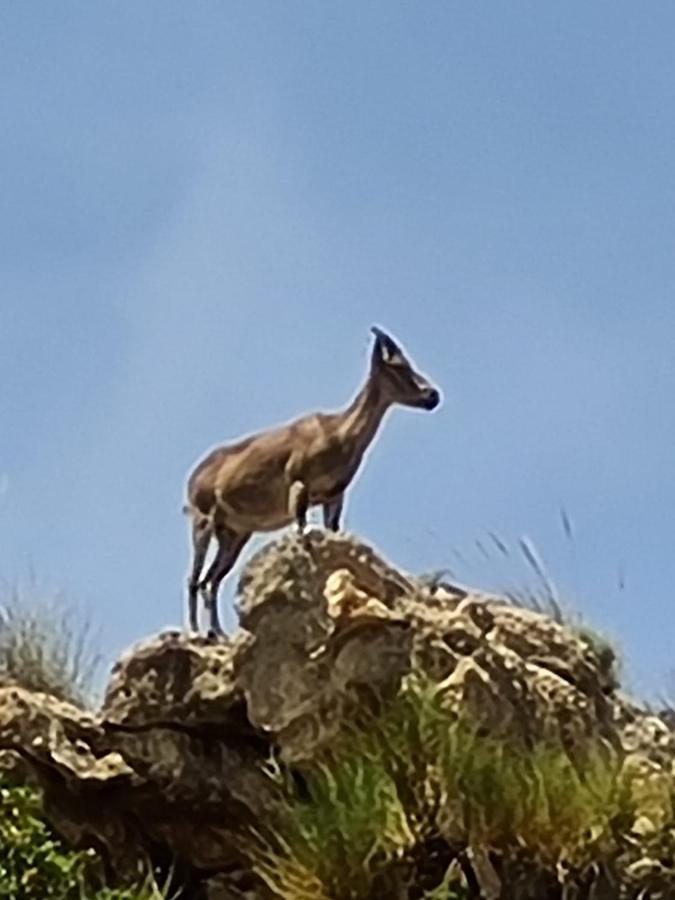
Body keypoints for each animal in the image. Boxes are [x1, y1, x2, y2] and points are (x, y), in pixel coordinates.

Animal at [182, 326, 440, 632]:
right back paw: (197, 631)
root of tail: (193, 478)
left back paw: (216, 632)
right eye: (398, 366)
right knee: (194, 579)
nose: (432, 395)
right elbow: (301, 532)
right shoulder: (298, 484)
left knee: (212, 580)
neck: (337, 434)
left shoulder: (334, 496)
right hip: (204, 520)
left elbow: (330, 531)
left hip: (233, 534)